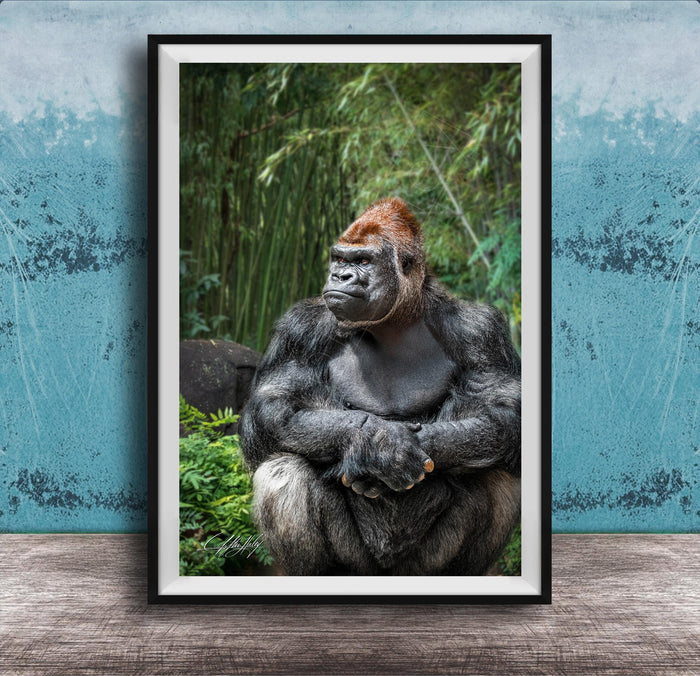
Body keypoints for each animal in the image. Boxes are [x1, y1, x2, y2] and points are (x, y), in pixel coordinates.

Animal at [239, 198, 521, 575]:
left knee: (492, 470)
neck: (397, 320)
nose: (339, 276)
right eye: (340, 259)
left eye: (362, 261)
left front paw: (398, 445)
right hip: (359, 565)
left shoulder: (480, 331)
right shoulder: (298, 329)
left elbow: (504, 413)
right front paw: (371, 444)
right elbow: (272, 409)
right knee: (284, 470)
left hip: (419, 567)